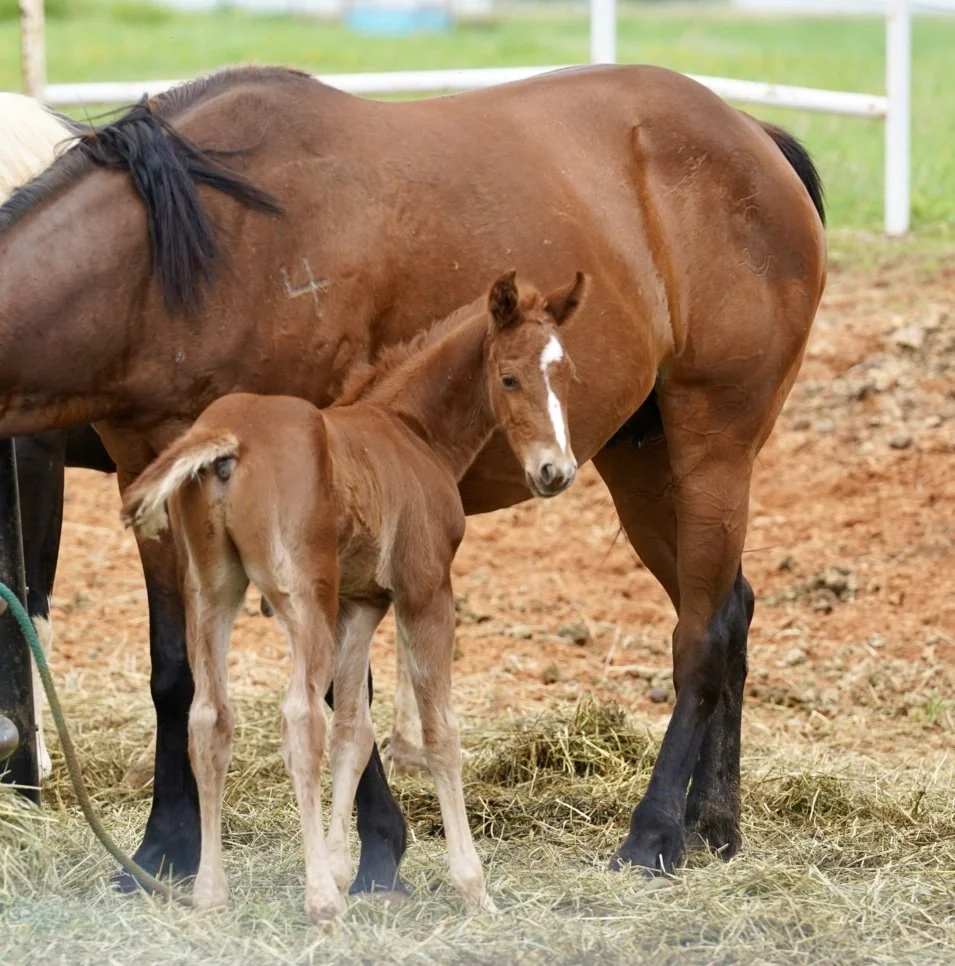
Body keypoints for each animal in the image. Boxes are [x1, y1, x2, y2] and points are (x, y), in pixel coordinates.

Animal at [121, 270, 582, 920]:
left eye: (565, 375)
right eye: (510, 377)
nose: (554, 472)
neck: (410, 430)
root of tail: (227, 433)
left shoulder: (362, 605)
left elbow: (353, 733)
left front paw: (344, 870)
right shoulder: (424, 591)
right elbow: (439, 732)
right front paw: (473, 887)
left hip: (212, 593)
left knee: (210, 717)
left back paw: (212, 895)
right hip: (302, 600)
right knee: (298, 718)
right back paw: (319, 902)